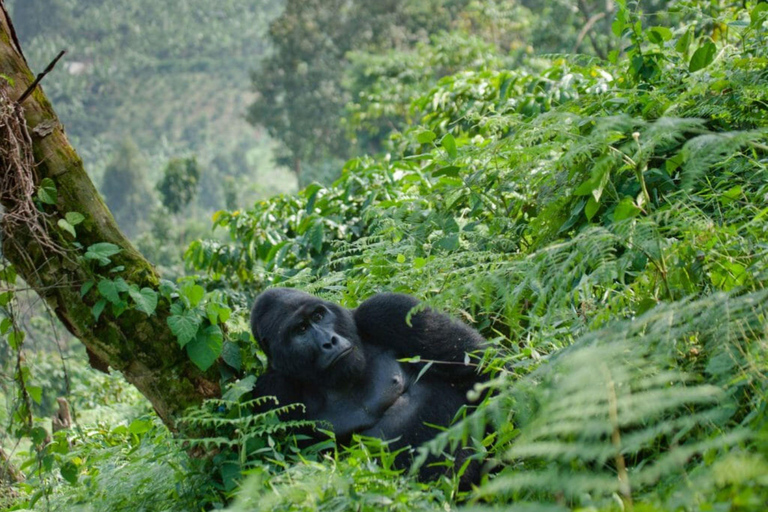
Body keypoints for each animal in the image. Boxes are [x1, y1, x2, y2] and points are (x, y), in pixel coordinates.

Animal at [252, 288, 486, 480]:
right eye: (300, 329)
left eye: (318, 316)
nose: (329, 342)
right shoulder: (273, 390)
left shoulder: (387, 311)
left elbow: (478, 365)